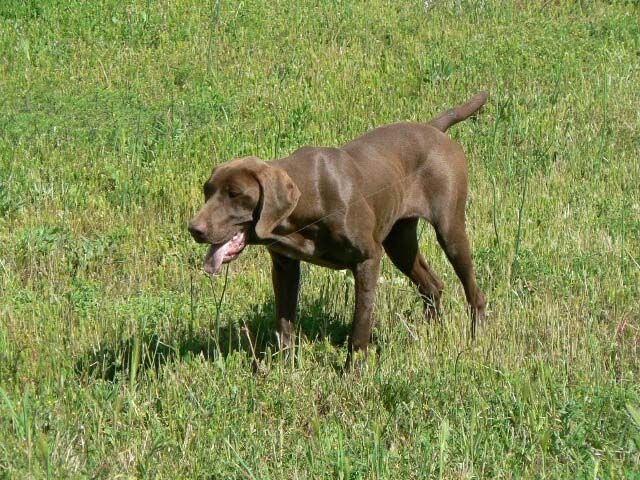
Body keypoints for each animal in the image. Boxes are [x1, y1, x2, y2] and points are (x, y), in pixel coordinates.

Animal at [188, 91, 488, 368]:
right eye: (207, 190)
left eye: (235, 193)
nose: (194, 229)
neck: (310, 199)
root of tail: (433, 128)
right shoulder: (285, 266)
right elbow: (284, 325)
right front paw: (283, 369)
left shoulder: (367, 260)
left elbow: (360, 324)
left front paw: (353, 372)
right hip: (399, 243)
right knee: (432, 286)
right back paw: (431, 333)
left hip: (449, 231)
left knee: (473, 292)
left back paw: (477, 338)